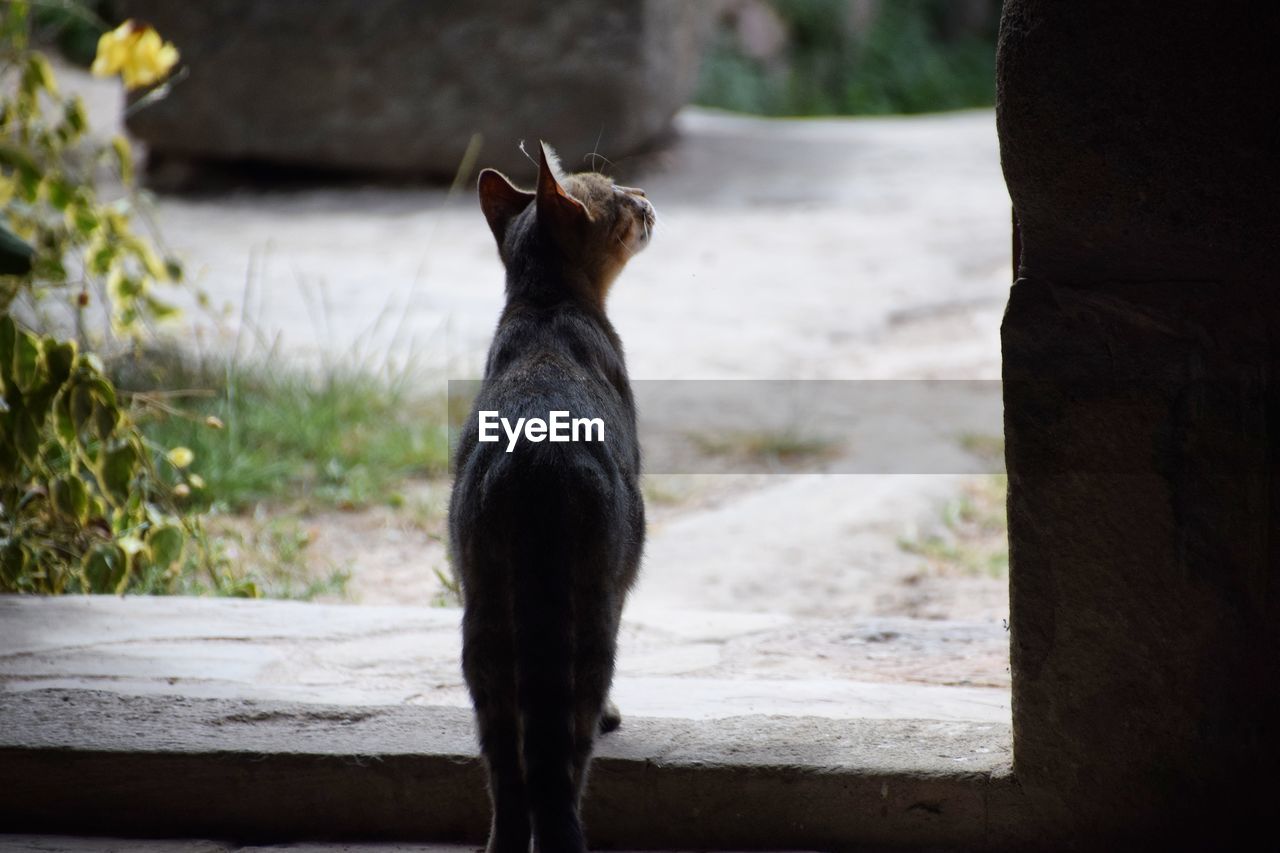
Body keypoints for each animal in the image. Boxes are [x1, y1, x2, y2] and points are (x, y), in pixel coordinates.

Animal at [448, 140, 650, 850]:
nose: (644, 196)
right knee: (567, 751)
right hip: (592, 612)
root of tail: (536, 464)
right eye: (616, 195)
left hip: (482, 623)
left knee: (506, 772)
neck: (541, 308)